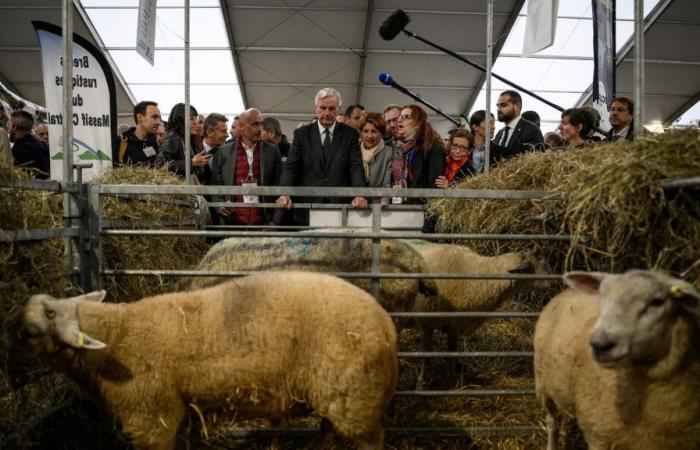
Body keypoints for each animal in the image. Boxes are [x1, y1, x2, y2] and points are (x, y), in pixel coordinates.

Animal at [8, 270, 400, 450]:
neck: (119, 337)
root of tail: (386, 324)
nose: (8, 329)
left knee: (369, 440)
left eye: (31, 332)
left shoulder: (153, 419)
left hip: (357, 402)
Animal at [536, 270, 700, 450]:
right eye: (602, 297)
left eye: (657, 302)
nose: (599, 344)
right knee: (553, 423)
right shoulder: (598, 435)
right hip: (543, 385)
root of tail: (566, 291)